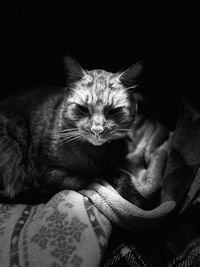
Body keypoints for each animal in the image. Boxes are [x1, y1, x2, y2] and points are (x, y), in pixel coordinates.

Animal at [0, 56, 142, 203]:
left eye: (114, 111)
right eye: (83, 109)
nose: (97, 130)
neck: (97, 155)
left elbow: (123, 175)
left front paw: (134, 197)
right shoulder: (48, 170)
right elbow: (85, 180)